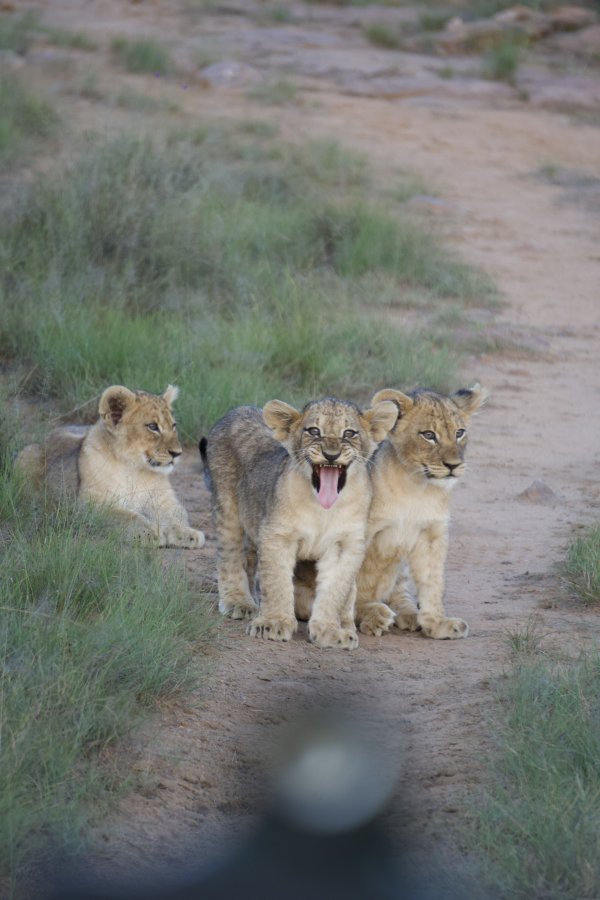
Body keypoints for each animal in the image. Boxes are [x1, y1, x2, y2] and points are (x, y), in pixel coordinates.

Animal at [16, 384, 205, 549]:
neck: (134, 470)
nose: (177, 453)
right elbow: (127, 516)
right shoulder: (89, 505)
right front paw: (149, 533)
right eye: (152, 426)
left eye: (173, 426)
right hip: (26, 454)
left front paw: (188, 534)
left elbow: (177, 515)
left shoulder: (165, 501)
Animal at [200, 397, 398, 649]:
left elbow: (335, 590)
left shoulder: (345, 544)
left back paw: (350, 623)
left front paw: (330, 631)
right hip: (228, 507)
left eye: (349, 433)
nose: (331, 455)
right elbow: (276, 582)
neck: (323, 510)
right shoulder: (277, 535)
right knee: (230, 556)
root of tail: (238, 409)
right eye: (314, 431)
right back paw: (239, 601)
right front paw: (273, 623)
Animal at [354, 384, 487, 640]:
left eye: (459, 433)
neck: (417, 488)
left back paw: (407, 615)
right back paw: (375, 615)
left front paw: (437, 624)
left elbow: (432, 582)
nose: (454, 466)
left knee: (399, 592)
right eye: (428, 435)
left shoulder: (431, 534)